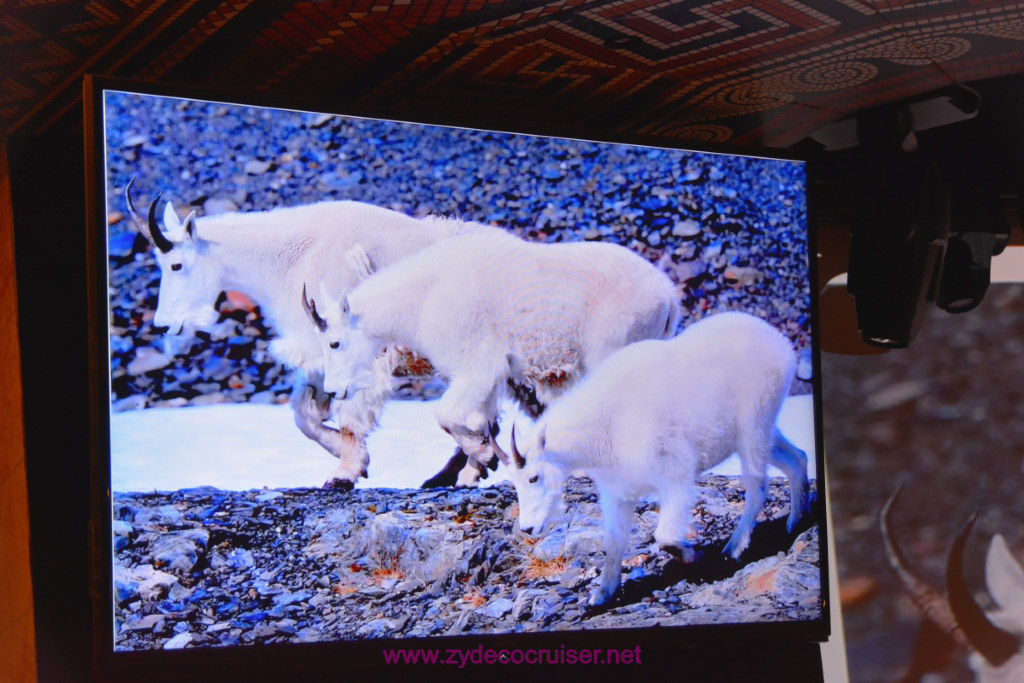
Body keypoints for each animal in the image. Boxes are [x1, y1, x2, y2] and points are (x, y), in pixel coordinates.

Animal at [126, 183, 487, 485]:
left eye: (175, 265)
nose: (162, 324)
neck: (289, 260)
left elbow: (348, 416)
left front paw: (344, 474)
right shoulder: (317, 351)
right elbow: (304, 416)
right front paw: (351, 458)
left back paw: (466, 471)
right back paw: (456, 473)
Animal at [305, 232, 688, 489]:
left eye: (334, 342)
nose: (334, 391)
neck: (421, 298)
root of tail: (668, 298)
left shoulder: (478, 362)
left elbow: (446, 415)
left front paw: (484, 458)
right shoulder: (492, 375)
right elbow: (479, 419)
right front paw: (474, 469)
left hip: (611, 346)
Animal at [495, 313, 806, 606]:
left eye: (534, 477)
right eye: (515, 483)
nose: (528, 528)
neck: (602, 427)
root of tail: (781, 344)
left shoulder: (676, 475)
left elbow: (665, 535)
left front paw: (693, 556)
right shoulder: (618, 493)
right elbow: (613, 542)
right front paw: (602, 594)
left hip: (754, 424)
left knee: (758, 484)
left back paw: (734, 547)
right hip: (760, 431)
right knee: (797, 458)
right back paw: (796, 520)